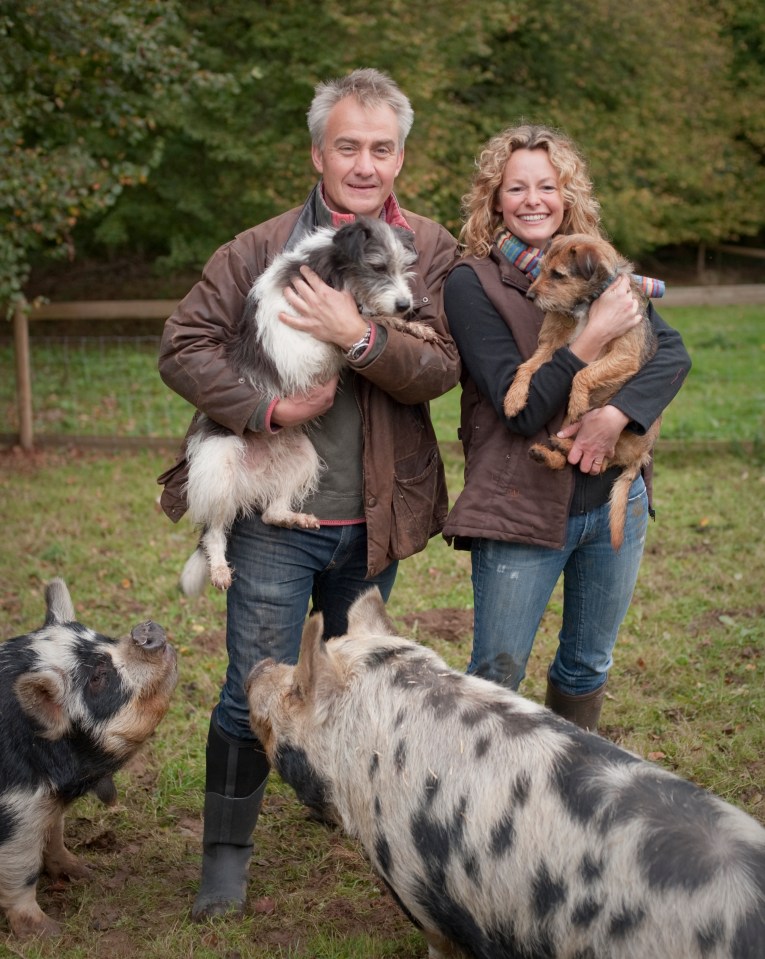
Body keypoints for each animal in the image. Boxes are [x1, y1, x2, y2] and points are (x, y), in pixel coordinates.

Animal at [0, 576, 176, 936]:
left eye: (105, 639)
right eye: (97, 678)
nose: (144, 630)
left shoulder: (47, 804)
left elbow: (54, 834)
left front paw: (83, 872)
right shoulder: (15, 811)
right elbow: (21, 869)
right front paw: (49, 933)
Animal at [175, 218, 432, 596]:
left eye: (403, 267)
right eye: (377, 267)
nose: (406, 304)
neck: (332, 274)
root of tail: (255, 480)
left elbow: (374, 321)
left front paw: (414, 328)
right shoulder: (301, 348)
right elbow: (366, 323)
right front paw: (391, 324)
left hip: (303, 459)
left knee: (272, 512)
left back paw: (295, 516)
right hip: (219, 469)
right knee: (214, 532)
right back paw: (220, 567)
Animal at [504, 233, 660, 552]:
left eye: (558, 274)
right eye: (541, 269)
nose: (530, 296)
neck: (587, 306)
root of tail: (641, 458)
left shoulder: (625, 356)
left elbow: (581, 373)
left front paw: (576, 401)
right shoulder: (552, 347)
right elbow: (526, 367)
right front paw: (514, 399)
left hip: (618, 435)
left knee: (601, 462)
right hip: (566, 428)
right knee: (569, 460)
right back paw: (548, 452)